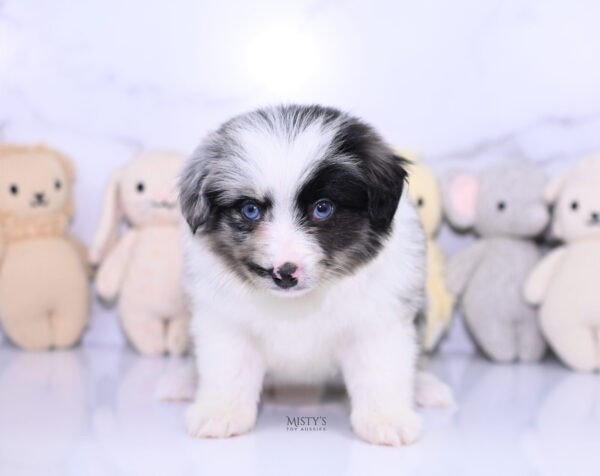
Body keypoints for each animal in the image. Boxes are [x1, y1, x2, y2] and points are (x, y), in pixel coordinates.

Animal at [177, 105, 446, 446]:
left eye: (323, 208)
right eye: (250, 210)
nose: (284, 273)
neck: (298, 305)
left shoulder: (378, 325)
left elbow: (380, 372)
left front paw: (386, 418)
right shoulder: (225, 324)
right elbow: (228, 370)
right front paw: (220, 412)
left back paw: (425, 387)